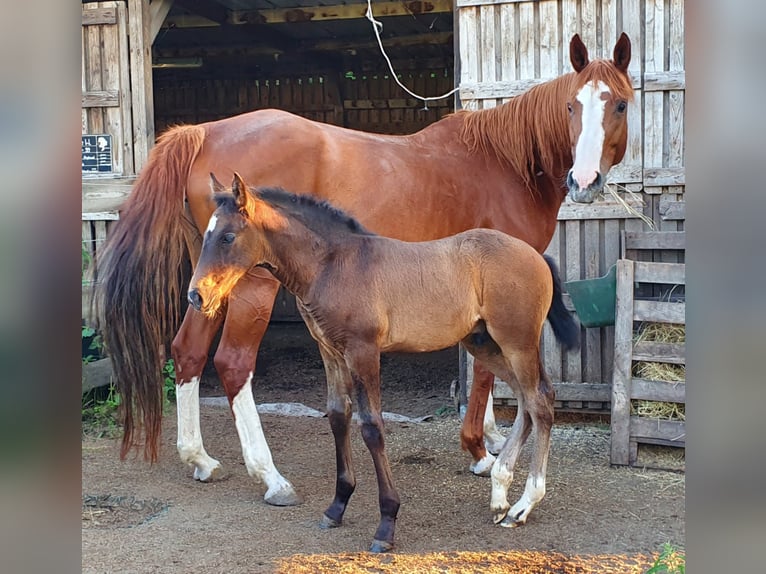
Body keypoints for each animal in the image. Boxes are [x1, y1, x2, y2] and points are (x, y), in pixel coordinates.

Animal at [96, 33, 632, 506]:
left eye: (620, 105)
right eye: (572, 107)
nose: (584, 181)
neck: (504, 163)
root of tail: (204, 130)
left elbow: (488, 365)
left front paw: (493, 438)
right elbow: (484, 371)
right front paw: (480, 451)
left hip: (208, 285)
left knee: (187, 350)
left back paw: (199, 458)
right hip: (251, 286)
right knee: (231, 363)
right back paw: (270, 476)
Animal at [189, 177, 580, 552]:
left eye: (227, 236)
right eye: (205, 234)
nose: (196, 295)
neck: (332, 264)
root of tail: (536, 255)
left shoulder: (363, 351)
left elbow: (371, 427)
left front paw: (386, 524)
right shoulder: (330, 351)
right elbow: (338, 416)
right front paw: (336, 507)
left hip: (517, 342)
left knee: (540, 402)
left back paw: (524, 504)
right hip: (484, 344)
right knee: (528, 399)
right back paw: (500, 496)